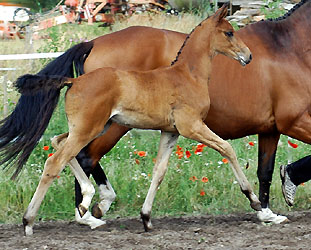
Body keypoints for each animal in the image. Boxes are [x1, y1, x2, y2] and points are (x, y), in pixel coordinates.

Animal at [0, 6, 260, 236]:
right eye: (229, 32)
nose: (248, 56)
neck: (187, 75)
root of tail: (73, 81)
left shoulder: (170, 132)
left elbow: (159, 171)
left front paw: (146, 218)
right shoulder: (192, 127)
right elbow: (227, 149)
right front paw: (254, 201)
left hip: (91, 127)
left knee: (58, 142)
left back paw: (86, 202)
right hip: (89, 129)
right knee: (55, 162)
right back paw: (30, 221)